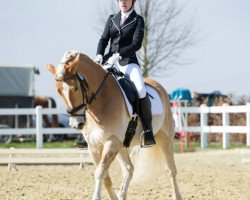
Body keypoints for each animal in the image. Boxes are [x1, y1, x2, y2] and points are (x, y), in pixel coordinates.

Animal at [45, 51, 182, 200]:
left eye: (75, 88)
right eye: (58, 91)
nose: (76, 123)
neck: (102, 100)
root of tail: (159, 86)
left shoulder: (112, 141)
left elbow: (100, 172)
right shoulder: (94, 146)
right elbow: (105, 177)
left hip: (165, 137)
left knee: (171, 170)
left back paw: (177, 195)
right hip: (123, 145)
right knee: (129, 169)